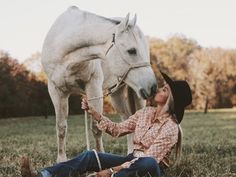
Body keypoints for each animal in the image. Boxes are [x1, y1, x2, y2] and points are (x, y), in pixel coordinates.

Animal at [41, 6, 158, 162]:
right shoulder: (56, 91)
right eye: (132, 51)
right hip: (116, 94)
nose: (153, 87)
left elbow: (96, 128)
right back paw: (130, 153)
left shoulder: (94, 87)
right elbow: (61, 127)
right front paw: (61, 160)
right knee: (127, 119)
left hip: (137, 95)